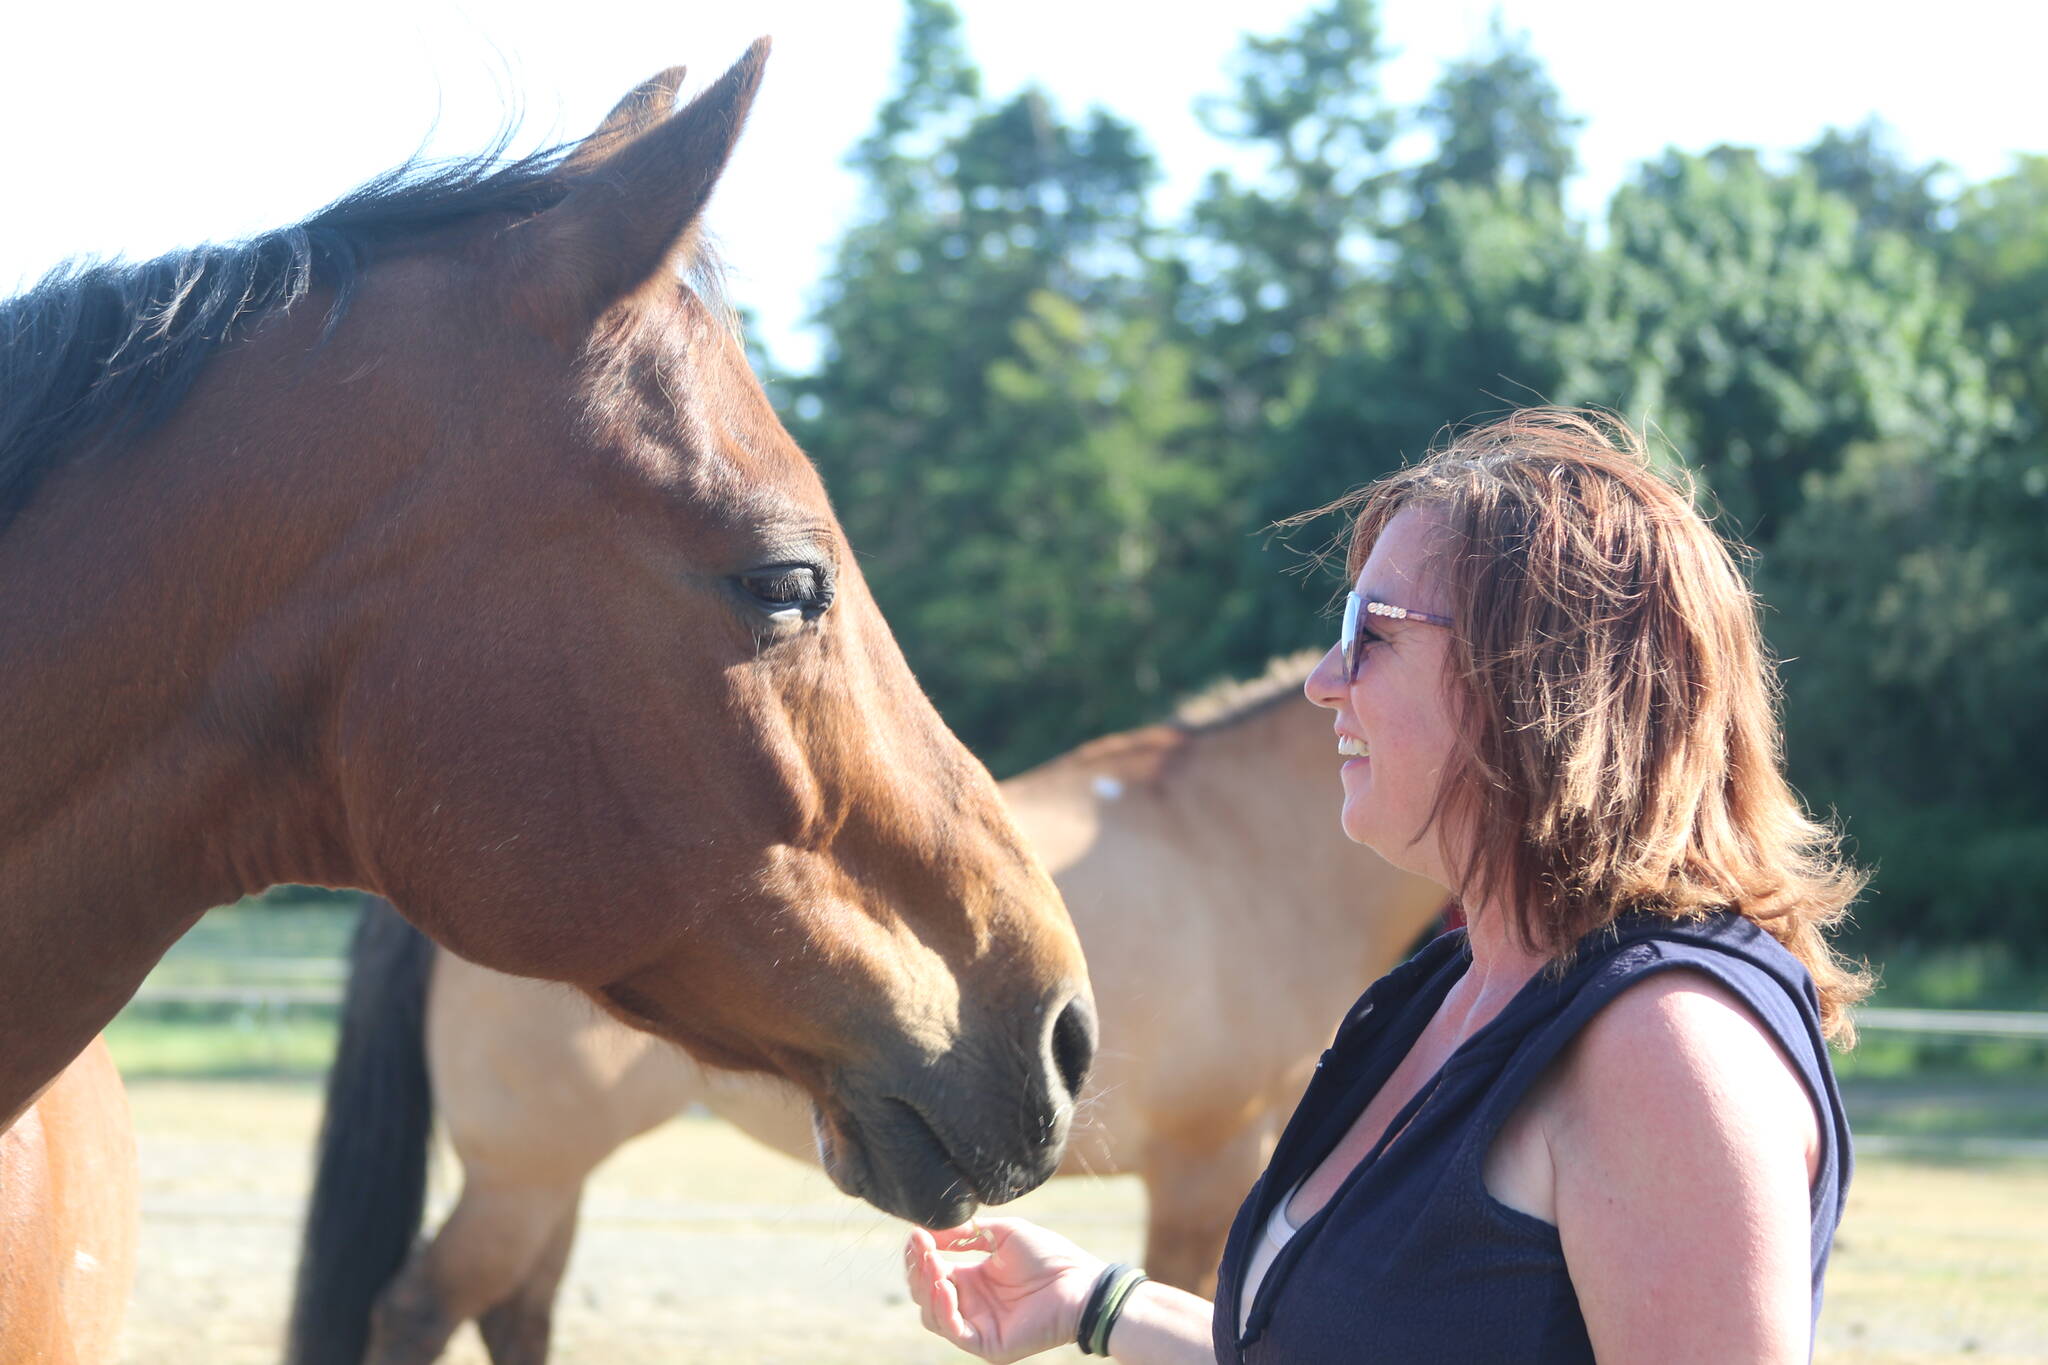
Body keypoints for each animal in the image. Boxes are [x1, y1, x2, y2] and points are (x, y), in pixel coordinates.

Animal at [293, 653, 1451, 1363]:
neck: (1242, 848)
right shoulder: (1205, 1177)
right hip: (521, 1178)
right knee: (420, 1309)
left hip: (544, 1179)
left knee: (515, 1315)